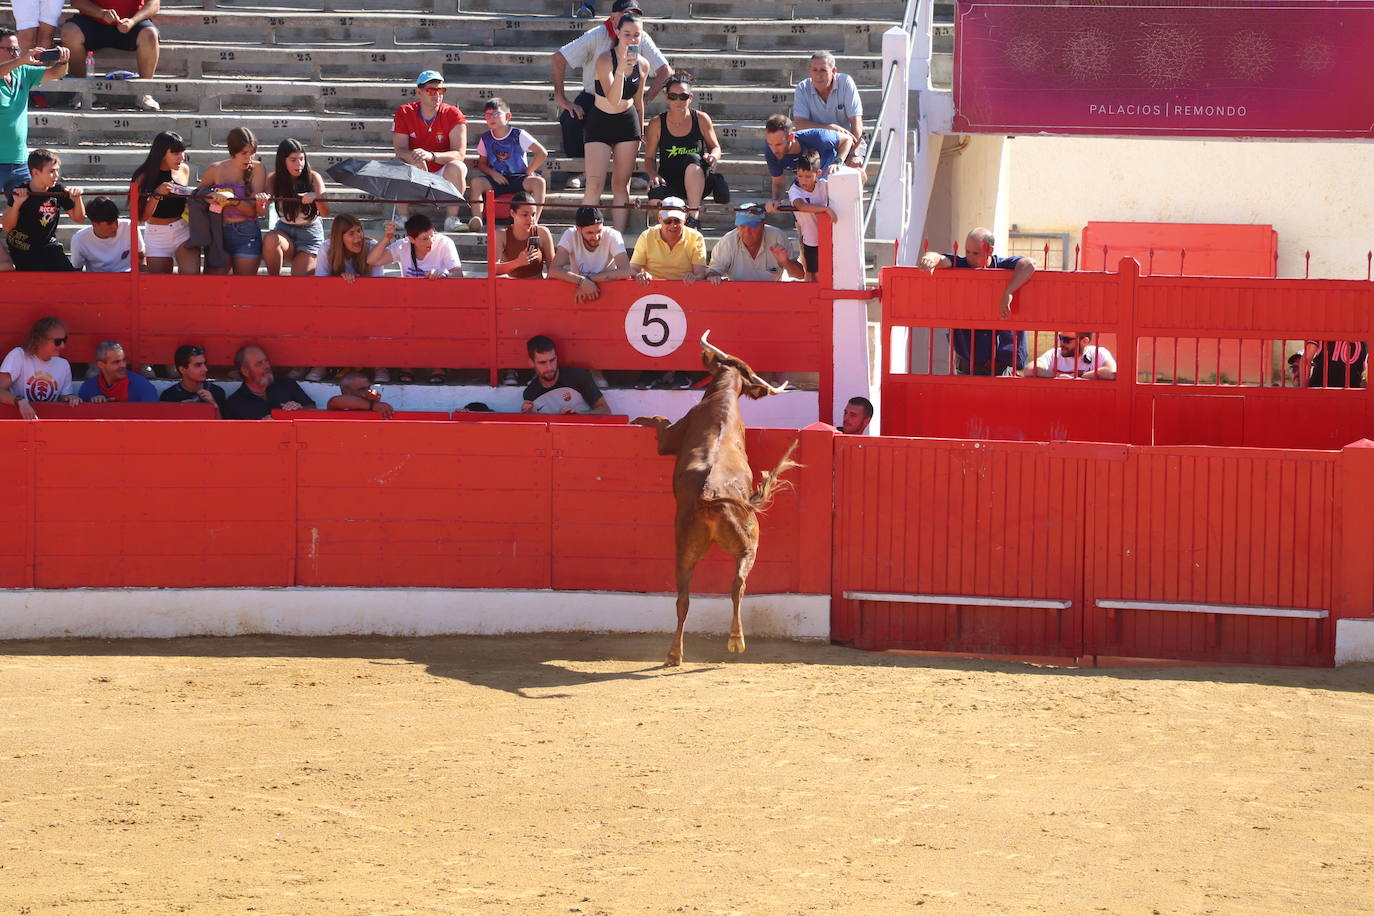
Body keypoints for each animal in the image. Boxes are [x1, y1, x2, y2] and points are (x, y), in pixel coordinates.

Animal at [629, 333, 796, 661]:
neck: (725, 394)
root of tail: (710, 496)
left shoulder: (669, 439)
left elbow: (660, 419)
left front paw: (638, 418)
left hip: (705, 546)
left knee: (706, 593)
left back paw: (701, 647)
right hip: (724, 547)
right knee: (722, 588)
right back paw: (712, 644)